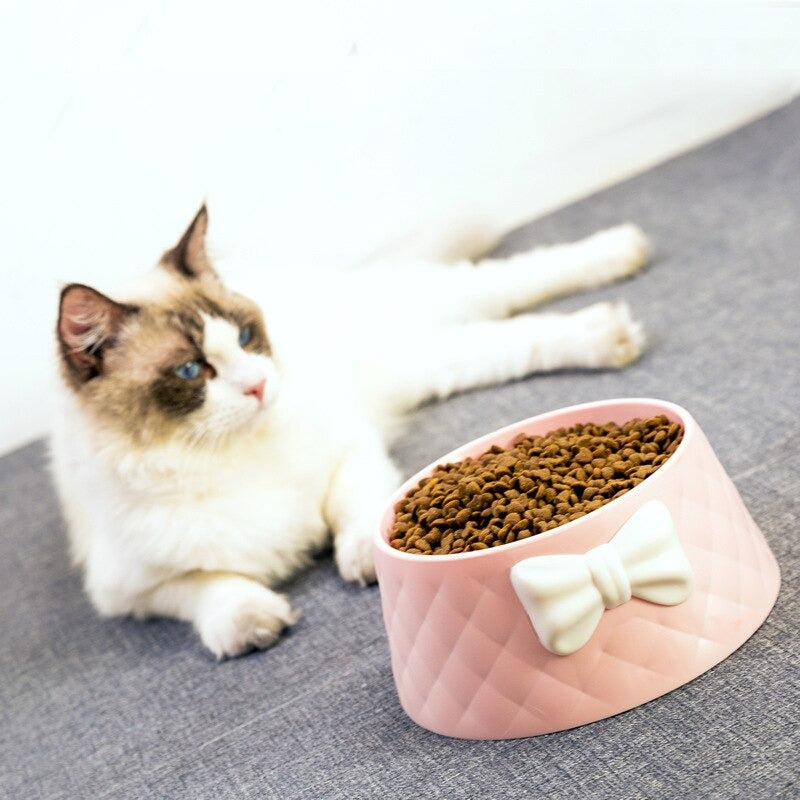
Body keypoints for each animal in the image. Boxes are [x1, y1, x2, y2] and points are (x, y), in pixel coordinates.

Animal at [50, 205, 648, 656]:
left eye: (244, 337)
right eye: (191, 372)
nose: (259, 386)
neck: (225, 455)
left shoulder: (350, 447)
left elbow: (354, 514)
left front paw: (363, 560)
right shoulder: (129, 590)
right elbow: (212, 591)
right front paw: (252, 623)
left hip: (427, 313)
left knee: (511, 286)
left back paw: (621, 278)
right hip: (421, 363)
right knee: (497, 337)